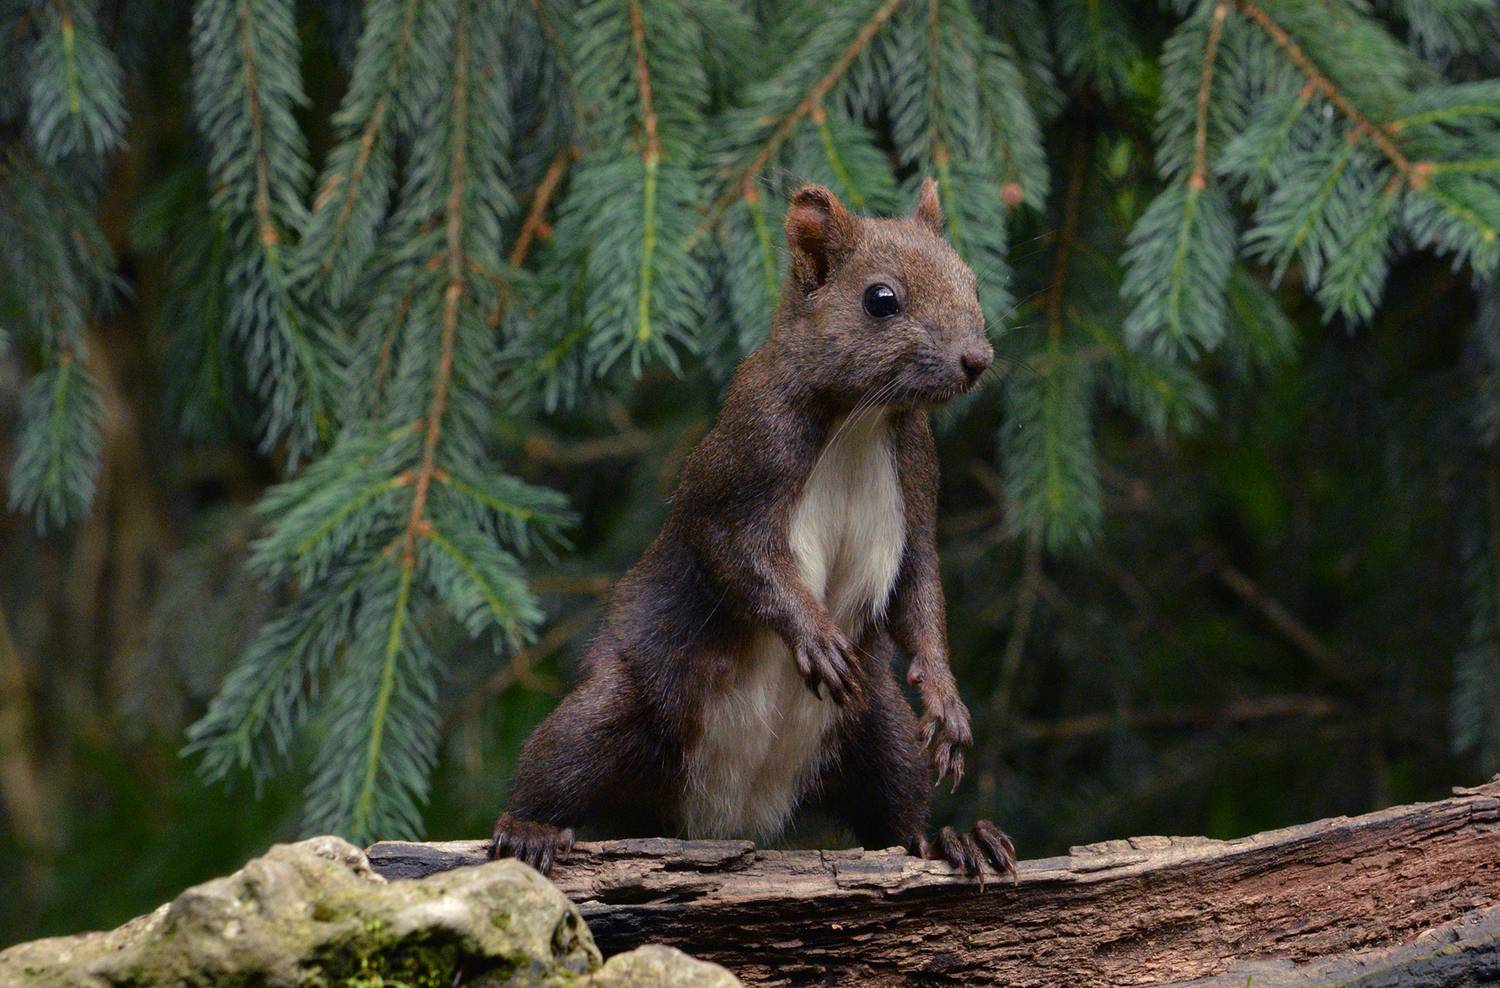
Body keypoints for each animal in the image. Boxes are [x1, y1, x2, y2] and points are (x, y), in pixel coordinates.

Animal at [487, 179, 1015, 880]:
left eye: (972, 282)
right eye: (881, 299)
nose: (977, 359)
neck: (860, 419)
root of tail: (724, 813)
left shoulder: (917, 481)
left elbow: (920, 593)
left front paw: (946, 700)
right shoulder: (745, 460)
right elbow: (737, 557)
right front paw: (814, 633)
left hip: (878, 731)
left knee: (896, 814)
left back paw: (951, 841)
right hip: (619, 704)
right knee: (558, 762)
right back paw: (528, 829)